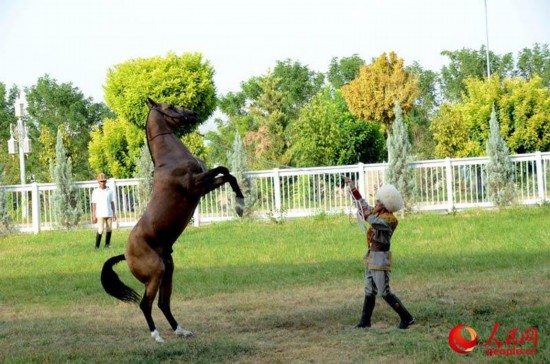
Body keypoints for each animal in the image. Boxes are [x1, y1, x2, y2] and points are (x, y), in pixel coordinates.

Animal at [101, 96, 244, 342]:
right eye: (170, 107)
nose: (193, 114)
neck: (169, 160)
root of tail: (126, 254)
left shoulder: (203, 187)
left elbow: (228, 175)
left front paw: (240, 204)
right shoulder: (196, 185)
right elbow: (224, 169)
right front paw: (240, 205)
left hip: (168, 272)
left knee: (163, 304)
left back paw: (181, 330)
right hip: (156, 275)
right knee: (146, 304)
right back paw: (157, 337)